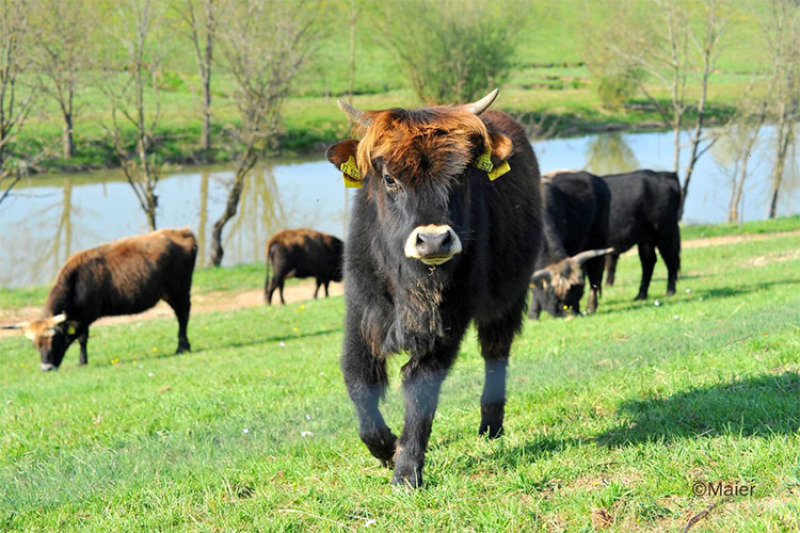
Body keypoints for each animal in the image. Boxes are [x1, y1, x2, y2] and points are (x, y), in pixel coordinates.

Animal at [3, 228, 197, 370]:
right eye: (35, 344)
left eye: (54, 340)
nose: (46, 368)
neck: (76, 282)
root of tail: (181, 231)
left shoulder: (86, 317)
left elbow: (82, 339)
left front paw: (82, 362)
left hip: (179, 291)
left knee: (183, 316)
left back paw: (182, 347)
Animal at [324, 89, 544, 488]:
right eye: (390, 178)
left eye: (460, 176)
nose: (434, 240)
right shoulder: (361, 314)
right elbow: (359, 379)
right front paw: (386, 447)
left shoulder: (445, 323)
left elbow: (420, 385)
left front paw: (406, 471)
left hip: (508, 300)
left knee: (495, 354)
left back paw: (491, 425)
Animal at [528, 171, 616, 316]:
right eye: (552, 291)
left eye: (578, 288)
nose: (567, 311)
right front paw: (533, 314)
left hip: (598, 242)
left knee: (595, 278)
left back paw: (591, 307)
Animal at [600, 168, 680, 298]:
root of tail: (663, 174)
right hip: (646, 239)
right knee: (649, 262)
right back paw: (641, 295)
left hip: (664, 235)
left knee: (671, 260)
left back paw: (670, 291)